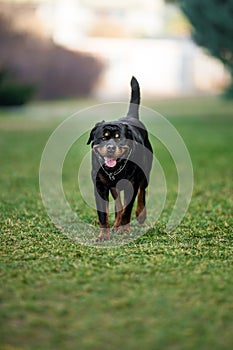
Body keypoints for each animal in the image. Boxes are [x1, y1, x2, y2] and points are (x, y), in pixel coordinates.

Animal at [87, 76, 153, 241]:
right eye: (103, 137)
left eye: (119, 138)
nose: (110, 147)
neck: (115, 170)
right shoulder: (100, 187)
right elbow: (103, 214)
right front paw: (104, 235)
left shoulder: (132, 183)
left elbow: (128, 209)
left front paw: (124, 229)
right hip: (113, 188)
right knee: (118, 204)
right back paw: (116, 224)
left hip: (145, 172)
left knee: (142, 191)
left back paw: (140, 214)